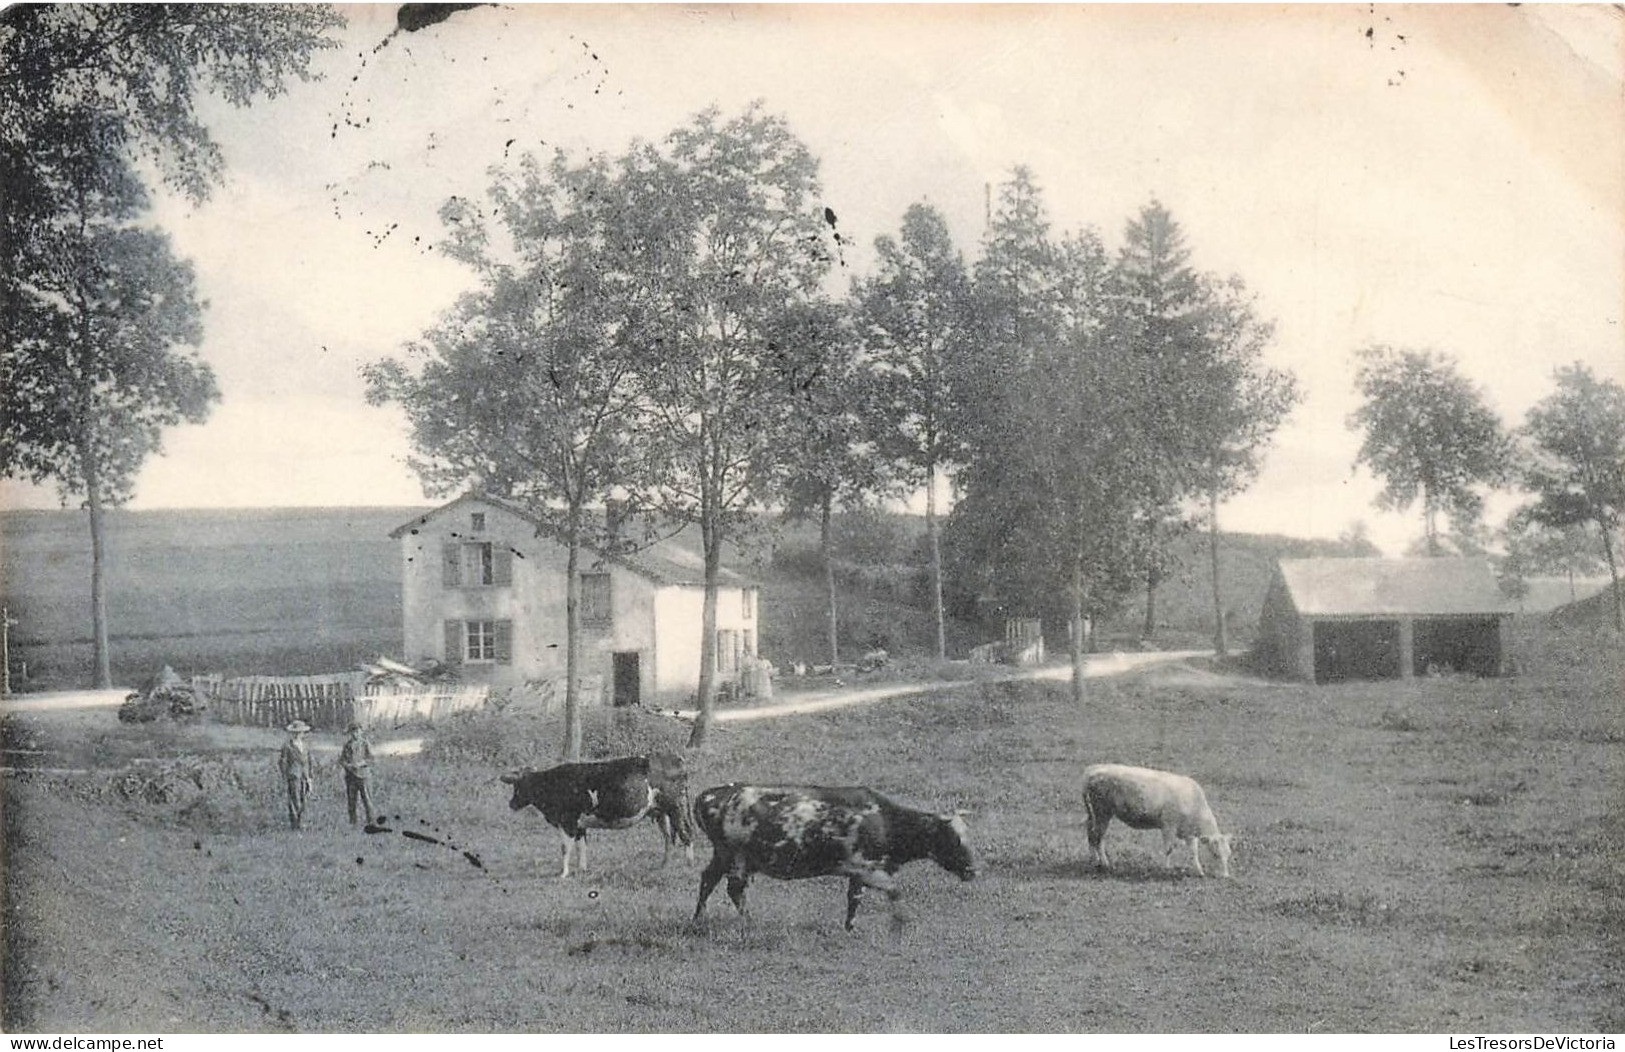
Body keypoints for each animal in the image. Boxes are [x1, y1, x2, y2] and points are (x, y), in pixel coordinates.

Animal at [500, 754, 692, 878]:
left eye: (520, 786)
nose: (511, 804)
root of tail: (676, 759)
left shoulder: (567, 822)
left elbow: (565, 848)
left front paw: (563, 874)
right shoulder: (579, 825)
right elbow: (581, 847)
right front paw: (582, 870)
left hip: (677, 808)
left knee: (685, 834)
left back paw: (688, 865)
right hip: (661, 812)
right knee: (668, 838)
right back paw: (664, 865)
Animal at [689, 780, 975, 930]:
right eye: (954, 839)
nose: (972, 871)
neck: (883, 818)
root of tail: (711, 794)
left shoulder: (859, 872)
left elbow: (854, 898)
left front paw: (850, 926)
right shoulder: (866, 867)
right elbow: (894, 891)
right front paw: (900, 922)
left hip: (725, 856)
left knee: (709, 880)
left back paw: (699, 918)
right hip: (734, 855)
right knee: (732, 889)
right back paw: (747, 922)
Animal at [1079, 764, 1228, 878]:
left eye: (1228, 855)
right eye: (1215, 855)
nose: (1225, 876)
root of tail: (1093, 769)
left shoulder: (1188, 833)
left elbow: (1193, 852)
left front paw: (1199, 871)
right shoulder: (1169, 825)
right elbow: (1169, 849)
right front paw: (1167, 869)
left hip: (1094, 814)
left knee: (1091, 834)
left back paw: (1095, 860)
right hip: (1102, 813)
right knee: (1098, 837)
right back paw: (1103, 863)